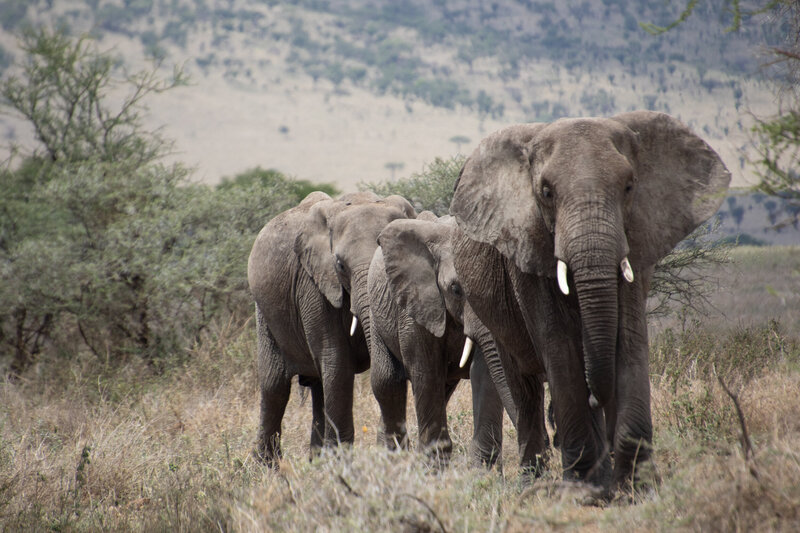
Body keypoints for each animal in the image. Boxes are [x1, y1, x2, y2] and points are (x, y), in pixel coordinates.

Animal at [248, 189, 412, 464]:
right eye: (340, 265)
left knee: (318, 389)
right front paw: (342, 464)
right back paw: (267, 467)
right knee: (275, 387)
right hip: (264, 312)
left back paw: (316, 463)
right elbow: (337, 363)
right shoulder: (313, 285)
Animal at [368, 211, 512, 466]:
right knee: (388, 381)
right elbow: (426, 372)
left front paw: (481, 469)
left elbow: (485, 372)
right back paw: (392, 460)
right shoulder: (415, 304)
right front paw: (432, 467)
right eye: (455, 289)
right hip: (376, 313)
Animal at [450, 111, 732, 490]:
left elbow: (628, 339)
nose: (597, 395)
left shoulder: (637, 239)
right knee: (523, 386)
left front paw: (637, 486)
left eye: (629, 186)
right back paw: (532, 481)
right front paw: (586, 490)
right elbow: (559, 346)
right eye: (546, 192)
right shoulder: (527, 248)